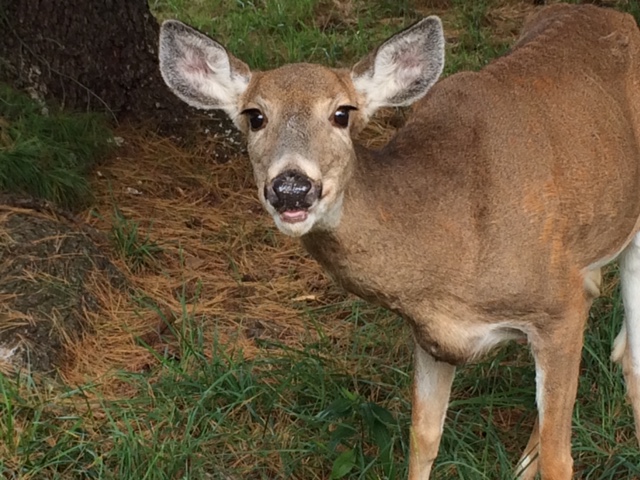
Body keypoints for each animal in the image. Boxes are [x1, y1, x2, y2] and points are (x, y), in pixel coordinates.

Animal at [158, 4, 640, 480]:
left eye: (342, 113)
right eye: (255, 116)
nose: (291, 187)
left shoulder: (558, 307)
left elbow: (561, 458)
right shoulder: (431, 334)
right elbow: (423, 437)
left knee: (629, 354)